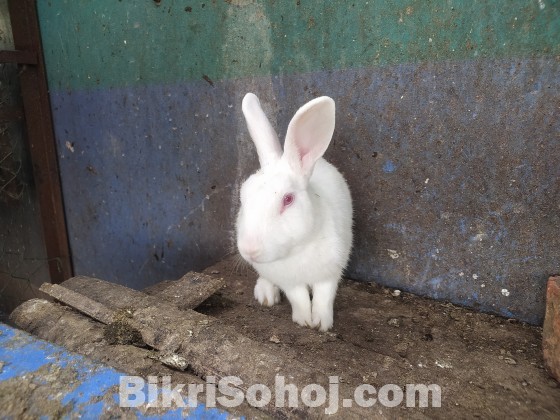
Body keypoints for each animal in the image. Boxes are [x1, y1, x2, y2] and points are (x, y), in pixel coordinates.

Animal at [234, 92, 352, 332]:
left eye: (287, 199)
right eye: (242, 198)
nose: (250, 250)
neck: (298, 248)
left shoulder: (330, 271)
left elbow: (324, 296)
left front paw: (321, 323)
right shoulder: (288, 280)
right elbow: (298, 297)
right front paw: (304, 320)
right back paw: (265, 294)